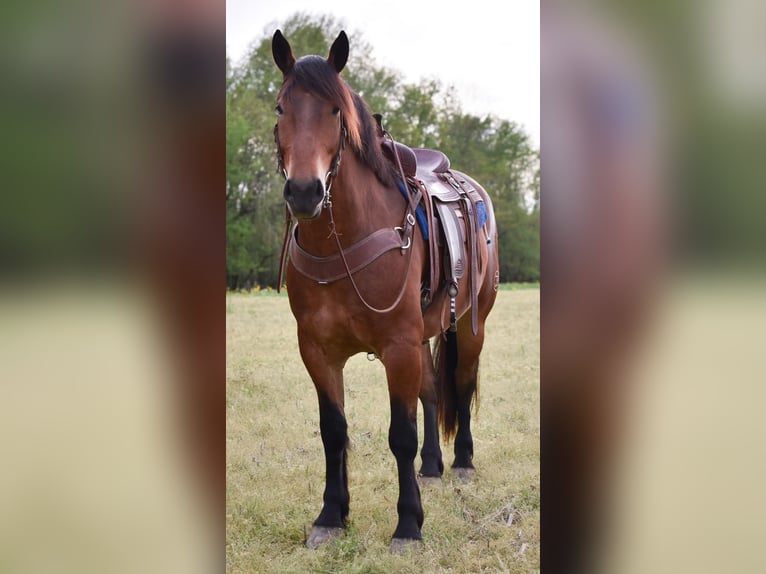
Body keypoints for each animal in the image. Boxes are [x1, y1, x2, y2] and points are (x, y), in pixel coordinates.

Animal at [272, 29, 500, 552]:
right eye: (280, 107)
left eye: (335, 112)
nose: (305, 192)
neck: (345, 240)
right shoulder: (317, 351)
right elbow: (333, 431)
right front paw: (331, 516)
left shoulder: (397, 346)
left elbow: (401, 434)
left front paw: (409, 525)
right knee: (433, 391)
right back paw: (433, 467)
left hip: (470, 325)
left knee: (461, 382)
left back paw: (461, 462)